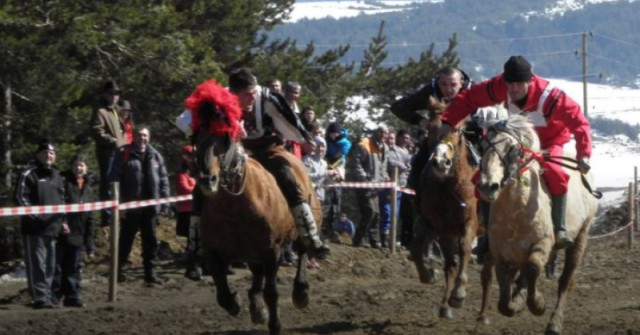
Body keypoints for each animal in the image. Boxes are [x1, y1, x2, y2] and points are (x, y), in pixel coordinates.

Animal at [196, 134, 322, 335]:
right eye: (197, 140)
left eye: (225, 141)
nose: (208, 181)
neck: (235, 206)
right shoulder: (214, 253)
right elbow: (223, 296)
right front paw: (237, 303)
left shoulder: (272, 251)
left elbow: (271, 292)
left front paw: (275, 325)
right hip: (252, 253)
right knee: (257, 273)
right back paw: (257, 308)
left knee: (303, 250)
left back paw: (300, 292)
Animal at [410, 118, 480, 320]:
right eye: (430, 130)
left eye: (457, 130)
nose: (441, 162)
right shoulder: (435, 226)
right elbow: (416, 249)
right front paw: (429, 274)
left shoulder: (470, 222)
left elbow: (464, 248)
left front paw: (459, 294)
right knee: (450, 265)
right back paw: (444, 307)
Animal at [476, 111, 600, 335]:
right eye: (482, 146)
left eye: (512, 148)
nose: (488, 186)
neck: (516, 210)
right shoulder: (501, 253)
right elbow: (504, 293)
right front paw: (515, 303)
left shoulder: (542, 244)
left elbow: (533, 268)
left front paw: (538, 304)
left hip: (581, 236)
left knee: (565, 280)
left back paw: (554, 322)